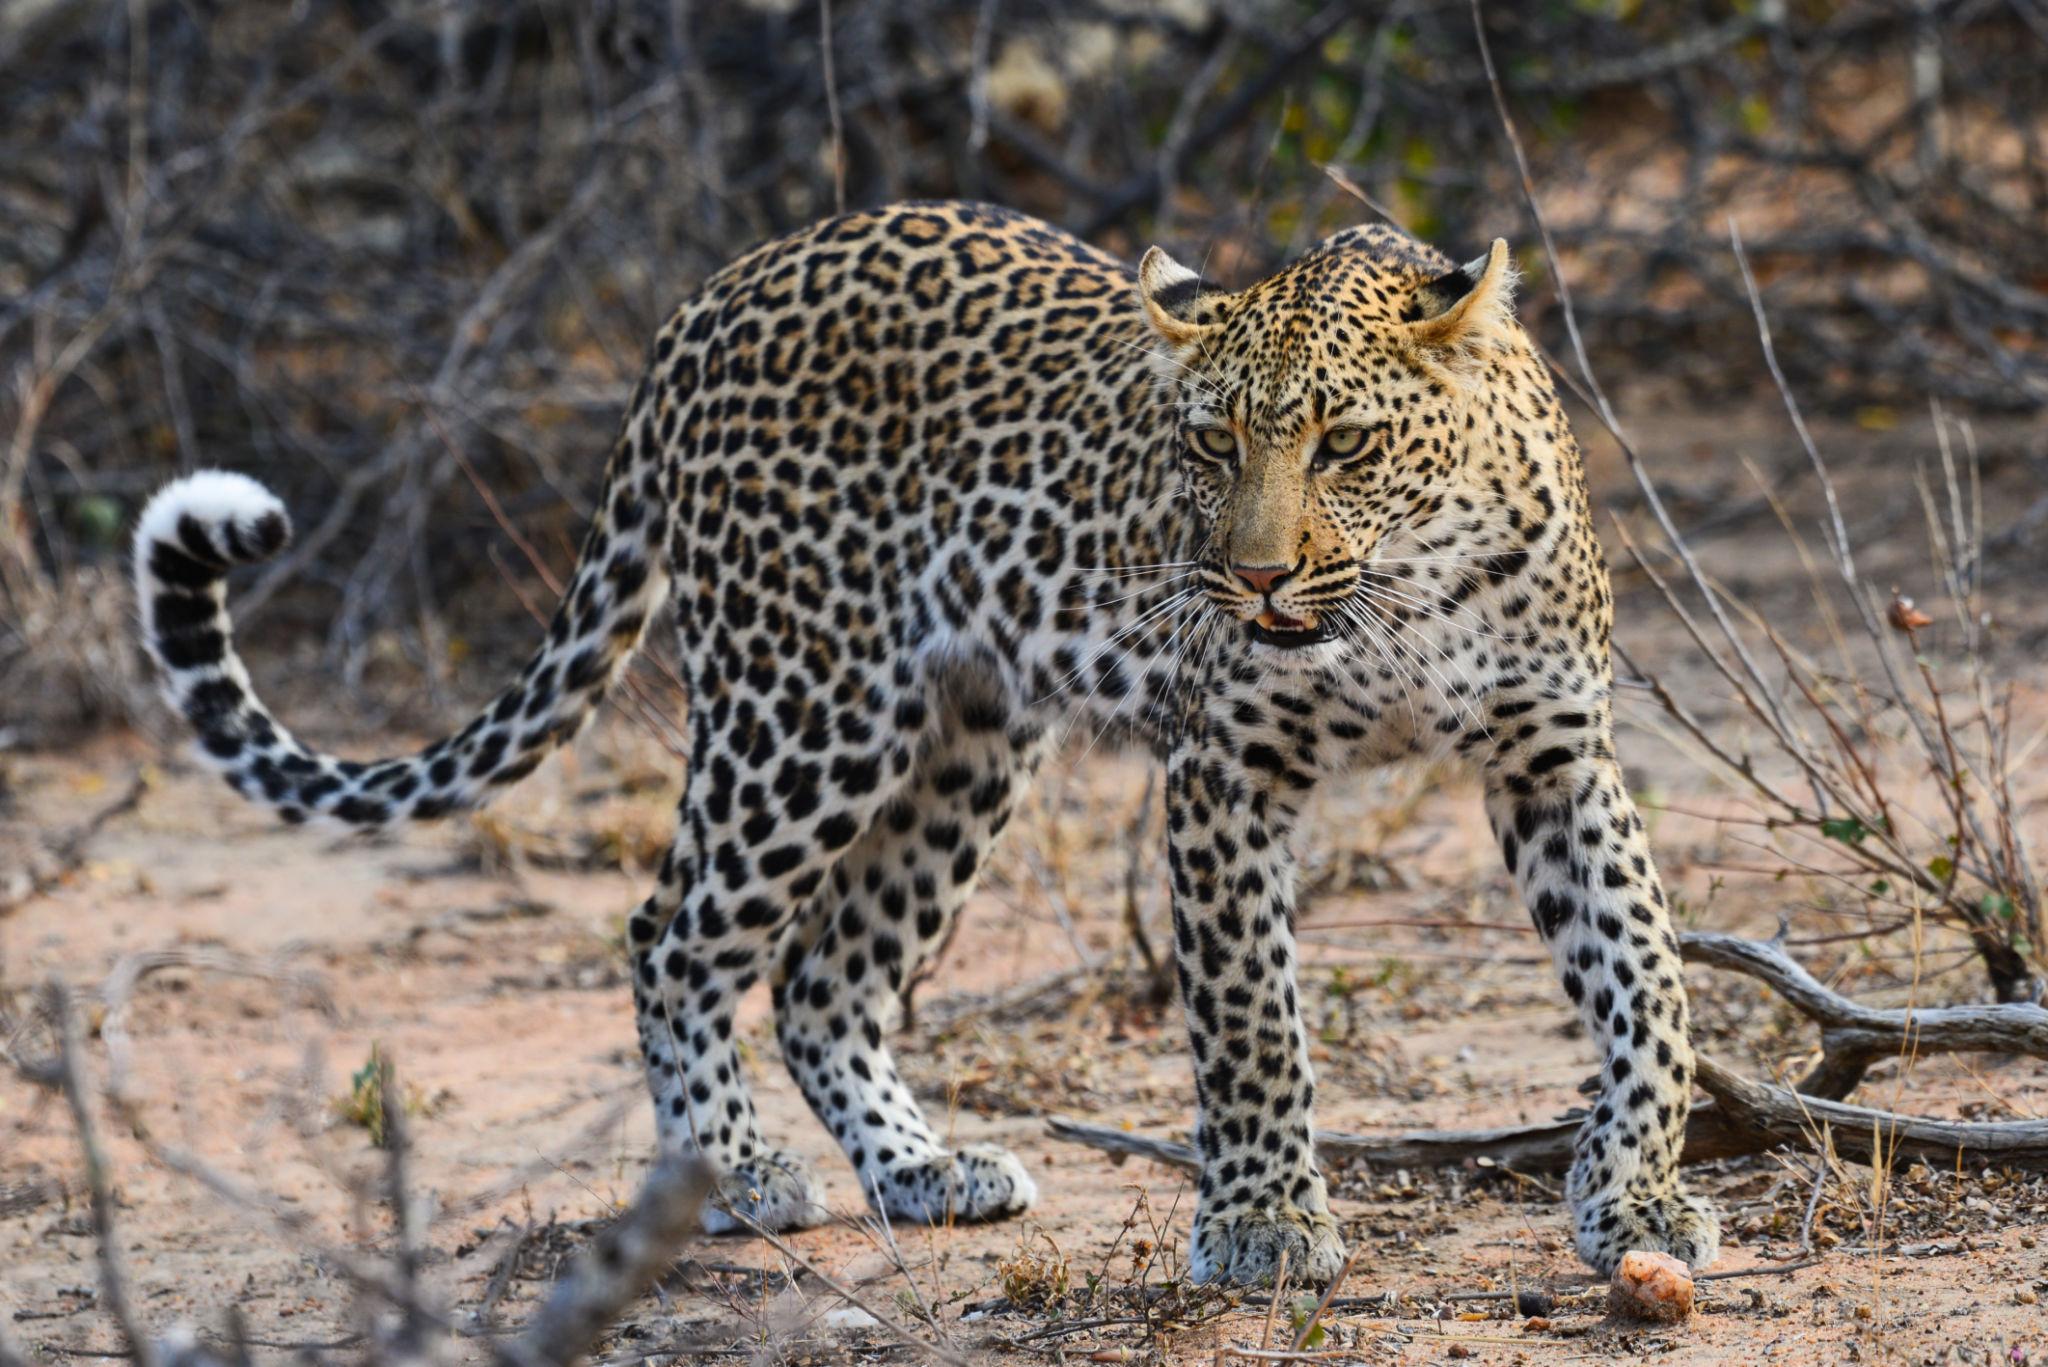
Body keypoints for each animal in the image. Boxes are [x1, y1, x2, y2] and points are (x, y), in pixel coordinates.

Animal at [132, 200, 1719, 1284]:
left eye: (1344, 444)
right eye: (1209, 445)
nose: (1255, 579)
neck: (1409, 590)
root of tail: (706, 300)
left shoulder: (1553, 760)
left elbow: (1646, 978)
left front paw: (1634, 1194)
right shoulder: (1226, 773)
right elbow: (1251, 1019)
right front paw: (1265, 1220)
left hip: (965, 742)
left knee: (824, 974)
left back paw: (920, 1166)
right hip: (804, 708)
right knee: (672, 932)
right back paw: (739, 1168)